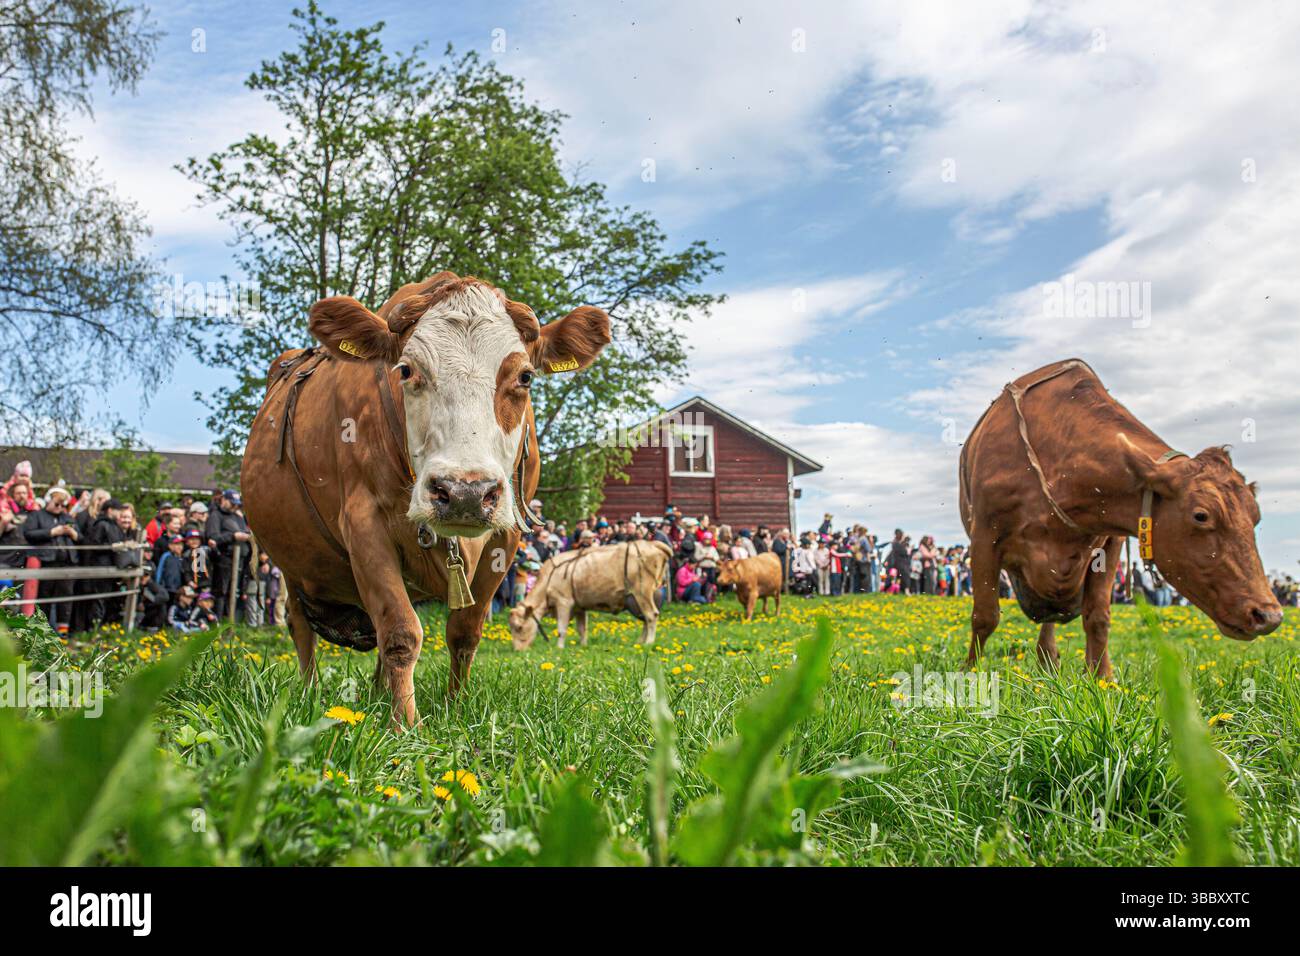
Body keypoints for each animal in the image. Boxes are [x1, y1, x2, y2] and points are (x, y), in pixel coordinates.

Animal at [241, 272, 611, 725]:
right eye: (406, 369)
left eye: (525, 377)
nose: (465, 492)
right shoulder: (364, 523)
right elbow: (401, 632)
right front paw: (404, 725)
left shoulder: (506, 537)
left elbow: (463, 632)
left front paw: (456, 706)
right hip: (290, 567)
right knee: (301, 627)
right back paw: (311, 693)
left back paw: (378, 693)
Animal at [508, 540, 672, 649]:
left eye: (519, 627)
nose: (518, 650)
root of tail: (652, 544)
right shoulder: (579, 606)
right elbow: (582, 629)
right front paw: (583, 645)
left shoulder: (564, 601)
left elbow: (562, 628)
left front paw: (560, 647)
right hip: (639, 598)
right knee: (645, 619)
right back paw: (639, 642)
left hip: (642, 592)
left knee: (651, 616)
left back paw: (648, 642)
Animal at [959, 358, 1282, 677]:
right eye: (1201, 515)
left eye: (1255, 517)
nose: (1269, 615)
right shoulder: (984, 536)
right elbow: (985, 616)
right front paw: (970, 674)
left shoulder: (1110, 542)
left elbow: (1098, 617)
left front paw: (1102, 679)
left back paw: (1049, 660)